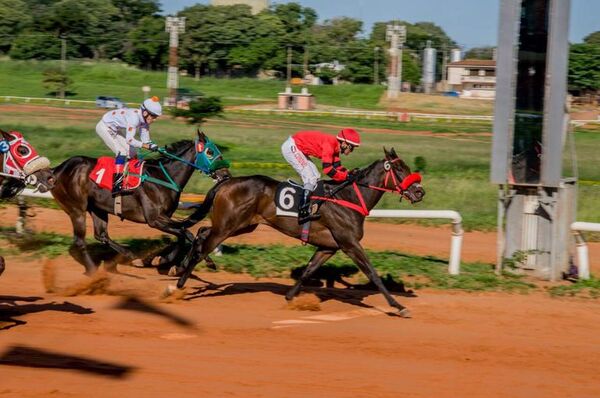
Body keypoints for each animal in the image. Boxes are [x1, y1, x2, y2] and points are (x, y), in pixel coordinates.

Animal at [172, 146, 426, 318]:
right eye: (400, 169)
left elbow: (308, 270)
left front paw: (291, 298)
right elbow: (373, 274)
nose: (420, 192)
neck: (349, 197)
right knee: (204, 244)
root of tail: (225, 182)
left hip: (240, 225)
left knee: (202, 232)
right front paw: (399, 306)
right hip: (228, 225)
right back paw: (178, 286)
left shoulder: (328, 247)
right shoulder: (349, 244)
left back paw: (183, 266)